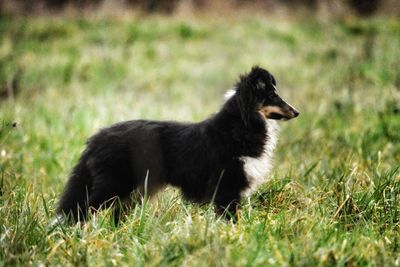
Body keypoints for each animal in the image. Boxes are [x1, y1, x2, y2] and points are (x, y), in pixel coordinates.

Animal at [57, 66, 298, 223]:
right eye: (273, 96)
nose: (297, 112)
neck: (241, 125)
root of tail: (97, 137)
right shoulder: (227, 187)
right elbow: (231, 220)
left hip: (132, 191)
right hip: (114, 184)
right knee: (82, 209)